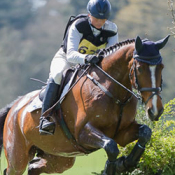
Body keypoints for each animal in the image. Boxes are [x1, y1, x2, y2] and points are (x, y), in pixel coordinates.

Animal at [0, 34, 170, 174]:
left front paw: (125, 164)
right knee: (14, 169)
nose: (155, 110)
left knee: (34, 167)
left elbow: (145, 133)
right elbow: (111, 146)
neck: (113, 92)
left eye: (161, 67)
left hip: (59, 157)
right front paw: (113, 167)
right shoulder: (83, 132)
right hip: (18, 156)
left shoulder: (122, 133)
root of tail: (15, 107)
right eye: (140, 68)